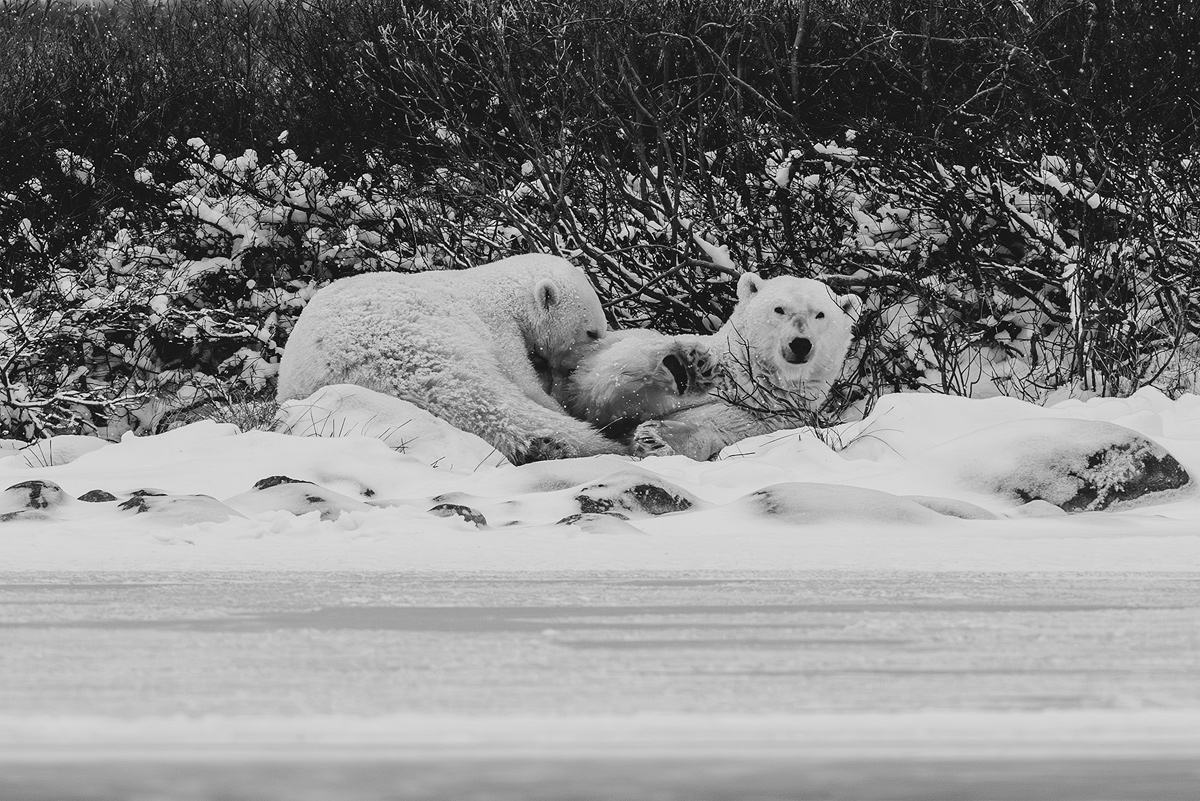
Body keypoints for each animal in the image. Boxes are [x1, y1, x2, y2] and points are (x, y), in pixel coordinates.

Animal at [276, 254, 627, 464]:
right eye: (592, 332)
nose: (580, 368)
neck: (499, 289)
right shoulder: (498, 326)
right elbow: (521, 377)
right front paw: (556, 402)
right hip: (419, 337)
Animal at [568, 273, 860, 461]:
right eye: (779, 309)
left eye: (820, 314)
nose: (800, 344)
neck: (747, 380)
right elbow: (594, 389)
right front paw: (685, 364)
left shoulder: (763, 418)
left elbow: (710, 429)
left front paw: (656, 438)